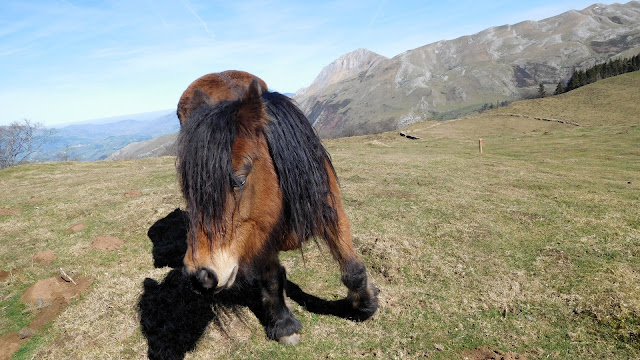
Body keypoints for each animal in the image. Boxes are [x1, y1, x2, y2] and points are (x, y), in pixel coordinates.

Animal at [176, 69, 376, 344]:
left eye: (239, 179)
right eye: (188, 189)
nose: (200, 277)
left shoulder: (331, 211)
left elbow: (351, 266)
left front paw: (366, 305)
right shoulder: (258, 234)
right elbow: (271, 279)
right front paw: (284, 325)